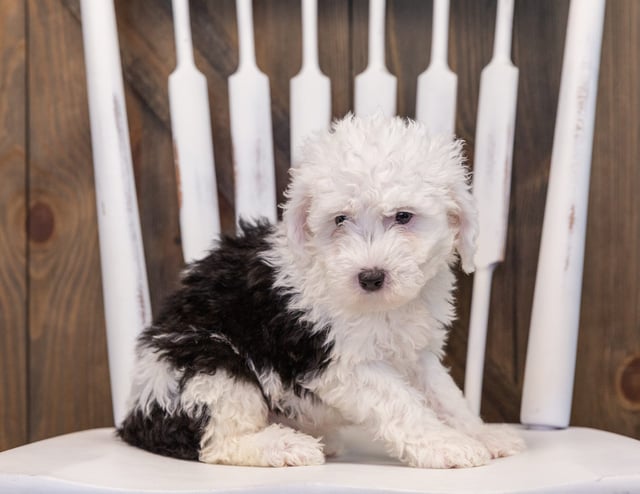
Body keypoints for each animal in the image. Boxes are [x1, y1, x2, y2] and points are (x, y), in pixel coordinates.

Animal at [117, 115, 524, 466]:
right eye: (340, 220)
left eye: (403, 217)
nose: (370, 277)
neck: (378, 306)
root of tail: (134, 418)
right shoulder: (337, 359)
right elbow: (400, 403)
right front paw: (446, 445)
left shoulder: (416, 352)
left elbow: (445, 396)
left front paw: (480, 434)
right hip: (209, 365)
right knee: (216, 441)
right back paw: (283, 445)